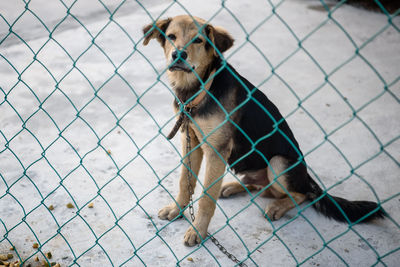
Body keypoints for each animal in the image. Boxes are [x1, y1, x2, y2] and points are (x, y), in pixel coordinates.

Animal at [142, 15, 386, 248]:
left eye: (198, 40)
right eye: (171, 36)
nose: (178, 55)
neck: (198, 90)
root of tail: (307, 177)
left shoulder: (216, 150)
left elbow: (206, 198)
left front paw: (197, 231)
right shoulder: (190, 140)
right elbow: (185, 182)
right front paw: (176, 209)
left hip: (279, 163)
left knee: (299, 194)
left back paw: (277, 207)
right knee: (263, 187)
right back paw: (231, 187)